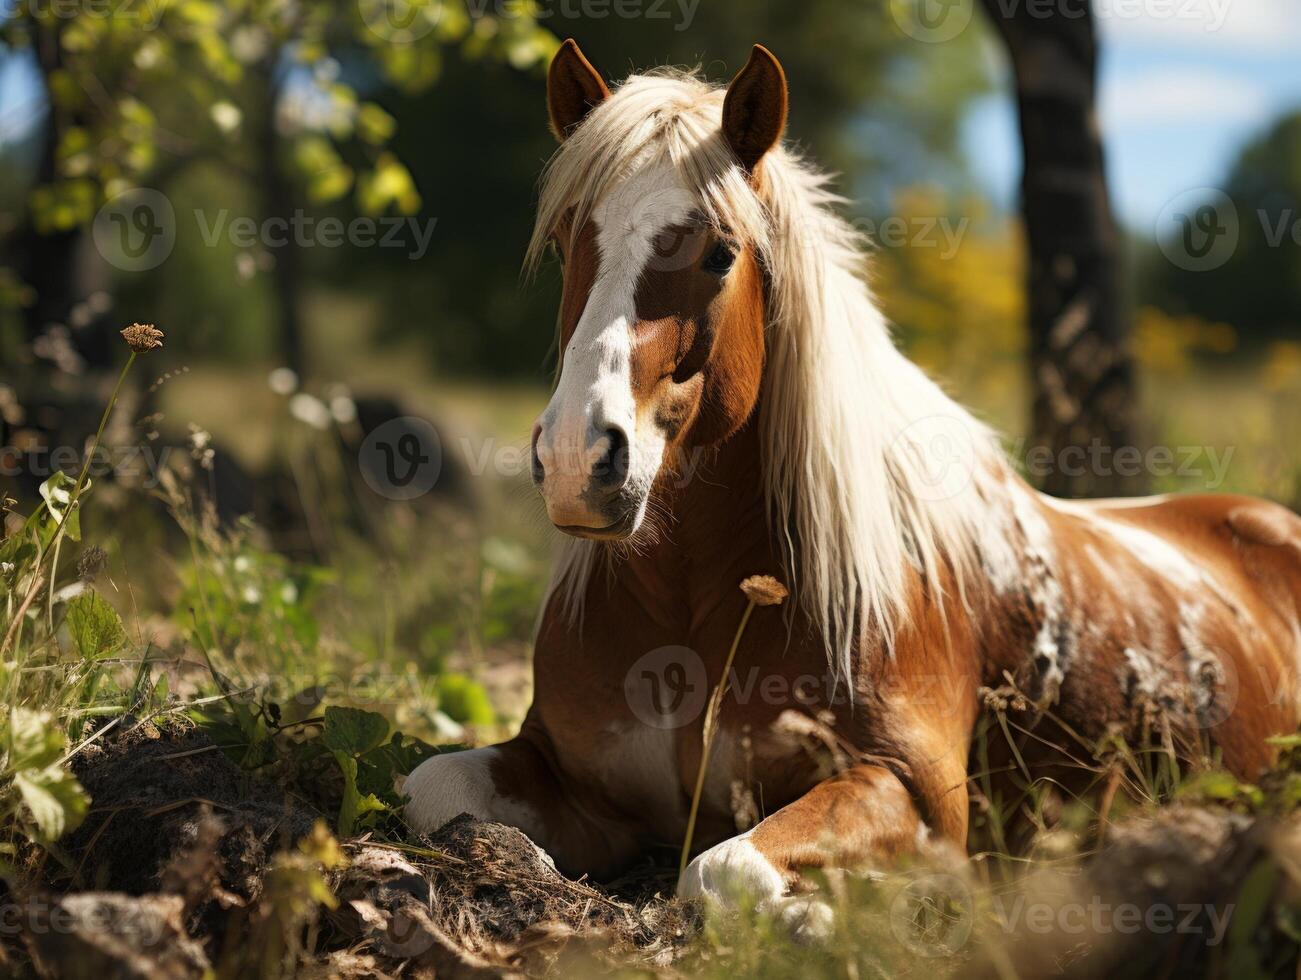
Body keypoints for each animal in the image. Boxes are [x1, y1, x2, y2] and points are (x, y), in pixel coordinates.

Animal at [400, 36, 1295, 926]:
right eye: (564, 243)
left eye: (719, 252)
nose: (577, 462)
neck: (696, 604)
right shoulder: (563, 770)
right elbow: (429, 786)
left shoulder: (914, 788)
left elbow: (723, 868)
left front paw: (829, 917)